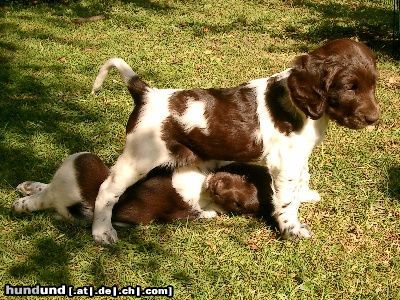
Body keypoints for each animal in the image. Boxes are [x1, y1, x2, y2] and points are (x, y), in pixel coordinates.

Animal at [13, 152, 268, 225]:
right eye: (243, 176)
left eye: (237, 205)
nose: (217, 185)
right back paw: (28, 186)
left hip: (84, 161)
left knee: (46, 197)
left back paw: (21, 203)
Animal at [86, 38, 380, 244]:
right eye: (350, 87)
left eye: (373, 85)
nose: (374, 118)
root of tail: (146, 94)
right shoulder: (284, 161)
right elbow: (286, 199)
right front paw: (292, 230)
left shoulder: (299, 156)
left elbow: (301, 182)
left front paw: (306, 196)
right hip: (140, 157)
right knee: (107, 190)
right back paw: (102, 232)